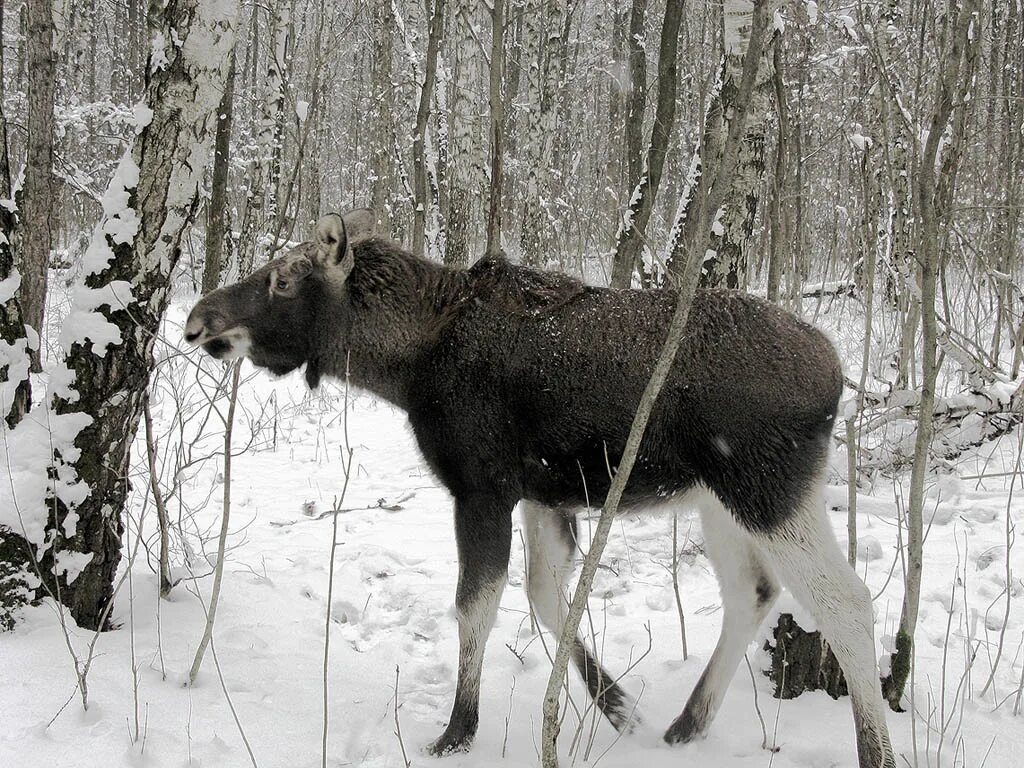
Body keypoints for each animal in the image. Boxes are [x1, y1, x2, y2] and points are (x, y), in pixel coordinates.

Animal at [186, 210, 897, 768]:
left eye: (282, 279)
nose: (197, 319)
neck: (409, 367)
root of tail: (837, 376)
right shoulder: (542, 494)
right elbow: (547, 599)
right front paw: (621, 709)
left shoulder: (481, 489)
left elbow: (475, 606)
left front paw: (457, 730)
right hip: (719, 502)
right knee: (755, 592)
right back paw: (685, 722)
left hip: (768, 490)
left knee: (847, 603)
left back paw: (875, 752)